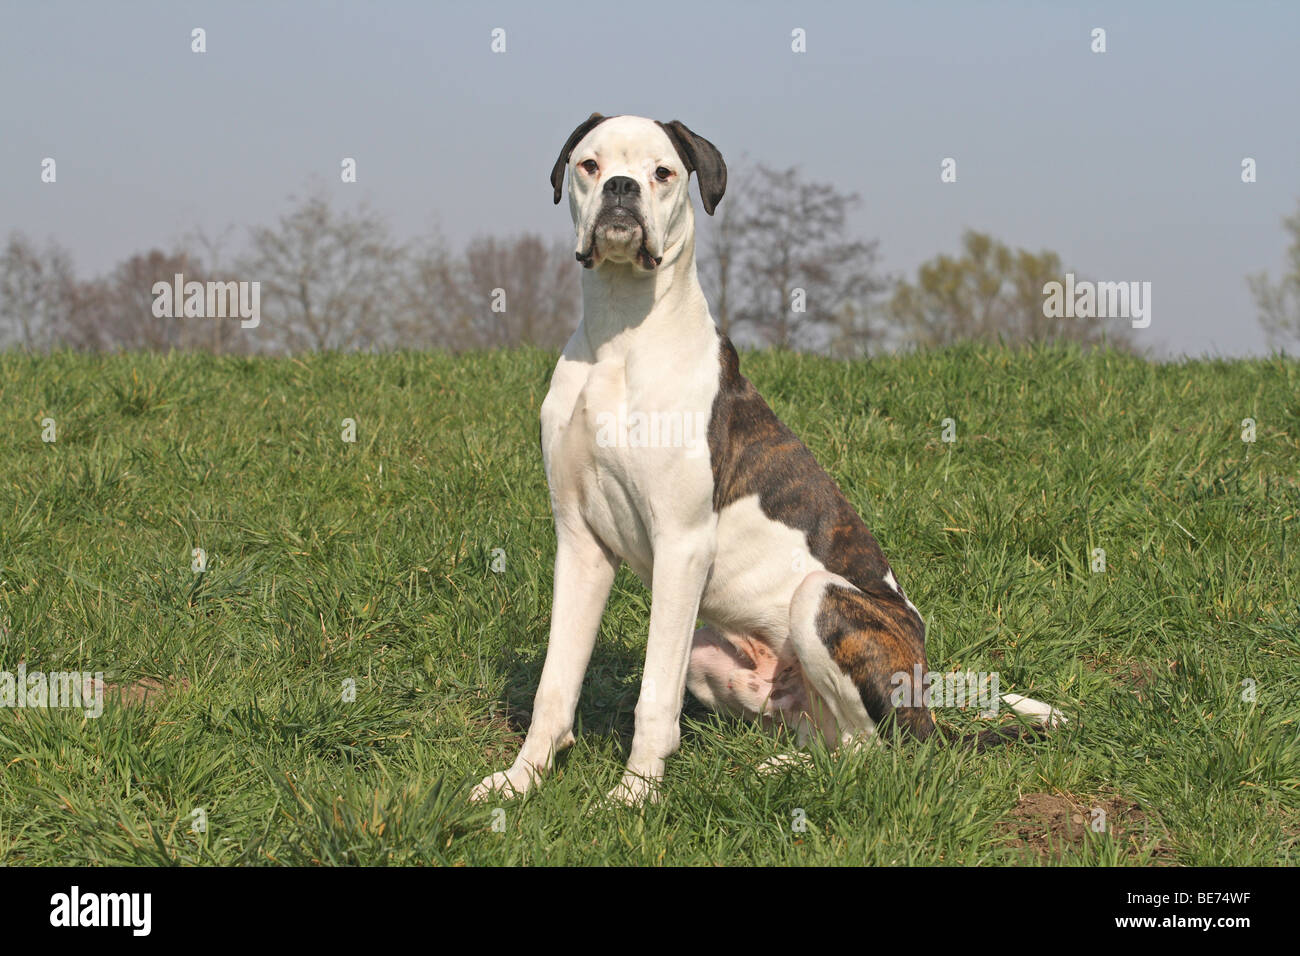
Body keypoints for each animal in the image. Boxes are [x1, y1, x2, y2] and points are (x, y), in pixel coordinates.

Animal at [473, 113, 1060, 806]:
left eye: (662, 172)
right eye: (590, 165)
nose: (621, 188)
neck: (619, 333)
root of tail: (924, 696)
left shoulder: (682, 543)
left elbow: (652, 699)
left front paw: (635, 796)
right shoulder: (581, 541)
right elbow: (555, 683)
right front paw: (519, 781)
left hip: (821, 601)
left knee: (872, 750)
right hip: (713, 653)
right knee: (829, 742)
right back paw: (782, 769)